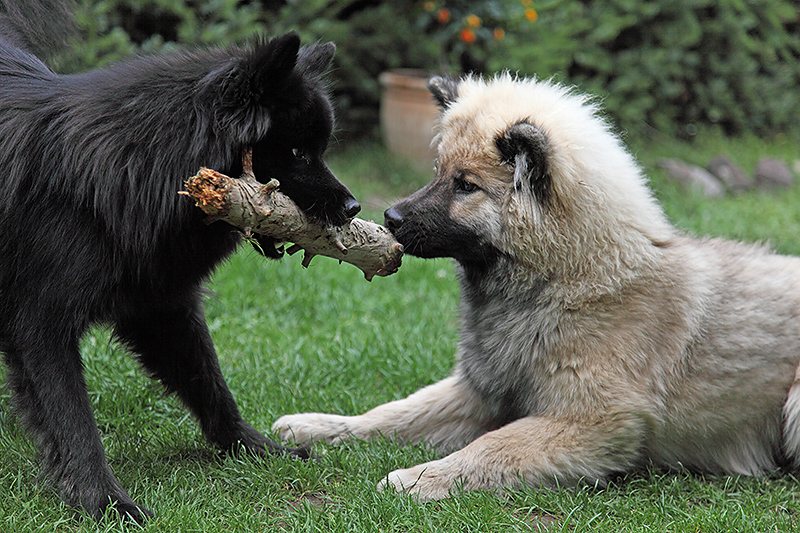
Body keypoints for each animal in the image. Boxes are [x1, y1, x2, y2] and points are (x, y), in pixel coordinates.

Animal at [0, 1, 358, 524]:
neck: (139, 169)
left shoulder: (160, 302)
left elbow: (210, 385)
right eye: (296, 151)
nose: (354, 208)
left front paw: (253, 448)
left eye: (321, 150)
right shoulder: (41, 324)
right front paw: (104, 502)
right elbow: (72, 419)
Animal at [274, 74, 800, 498]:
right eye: (438, 173)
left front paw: (419, 477)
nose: (390, 217)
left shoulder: (591, 421)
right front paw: (319, 426)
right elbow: (393, 413)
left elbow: (491, 448)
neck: (567, 281)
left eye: (465, 185)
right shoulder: (479, 392)